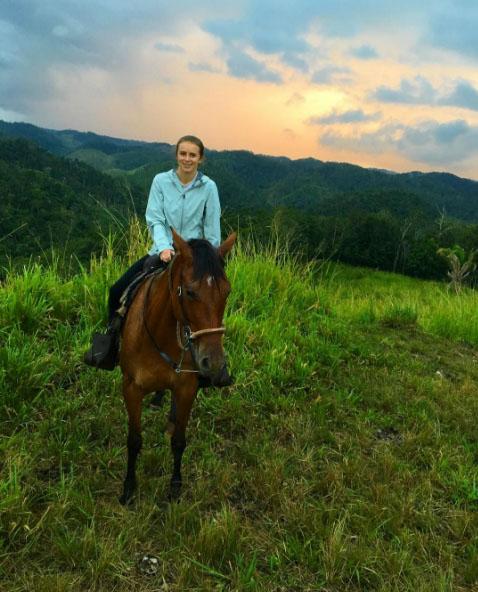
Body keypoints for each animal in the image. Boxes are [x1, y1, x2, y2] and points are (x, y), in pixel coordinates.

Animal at [116, 227, 235, 504]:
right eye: (190, 292)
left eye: (227, 292)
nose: (213, 363)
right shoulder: (131, 388)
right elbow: (134, 440)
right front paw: (129, 488)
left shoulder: (186, 388)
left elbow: (179, 441)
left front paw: (175, 487)